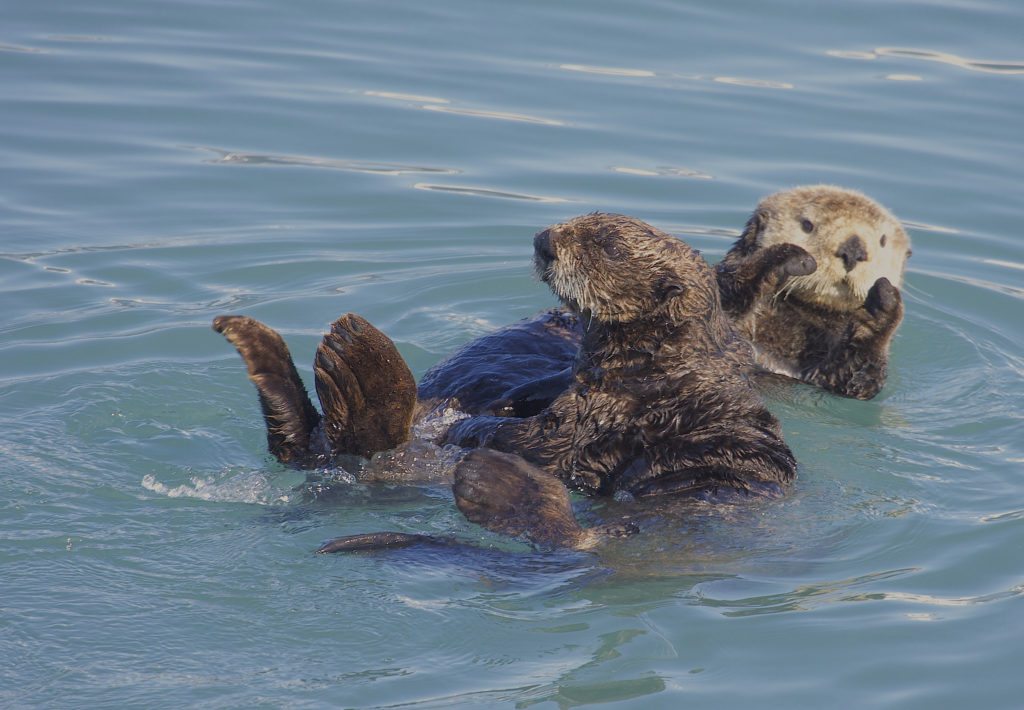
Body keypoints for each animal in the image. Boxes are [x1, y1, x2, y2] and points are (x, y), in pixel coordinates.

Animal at [215, 214, 797, 550]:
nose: (544, 240)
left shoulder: (610, 406)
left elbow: (545, 439)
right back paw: (269, 347)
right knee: (309, 444)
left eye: (606, 244)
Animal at [715, 185, 912, 399]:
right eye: (807, 225)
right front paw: (787, 256)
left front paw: (881, 307)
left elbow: (854, 381)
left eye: (883, 240)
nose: (853, 251)